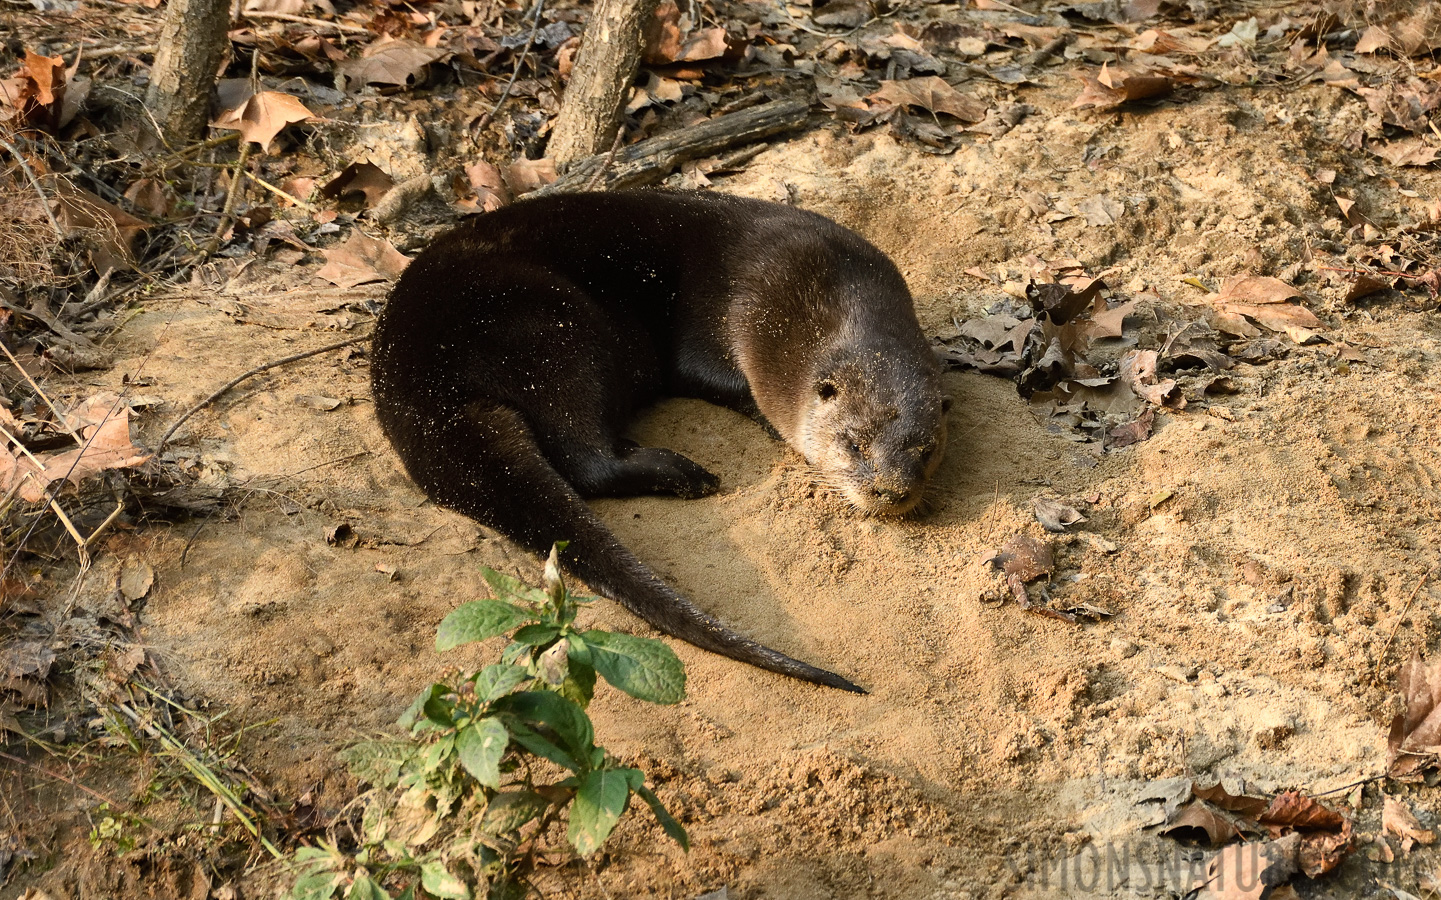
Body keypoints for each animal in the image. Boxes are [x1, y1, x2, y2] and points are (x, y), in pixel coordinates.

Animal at [374, 191, 945, 694]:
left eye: (927, 450)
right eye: (854, 443)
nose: (892, 491)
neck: (820, 287)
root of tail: (415, 380)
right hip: (551, 328)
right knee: (584, 457)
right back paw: (688, 475)